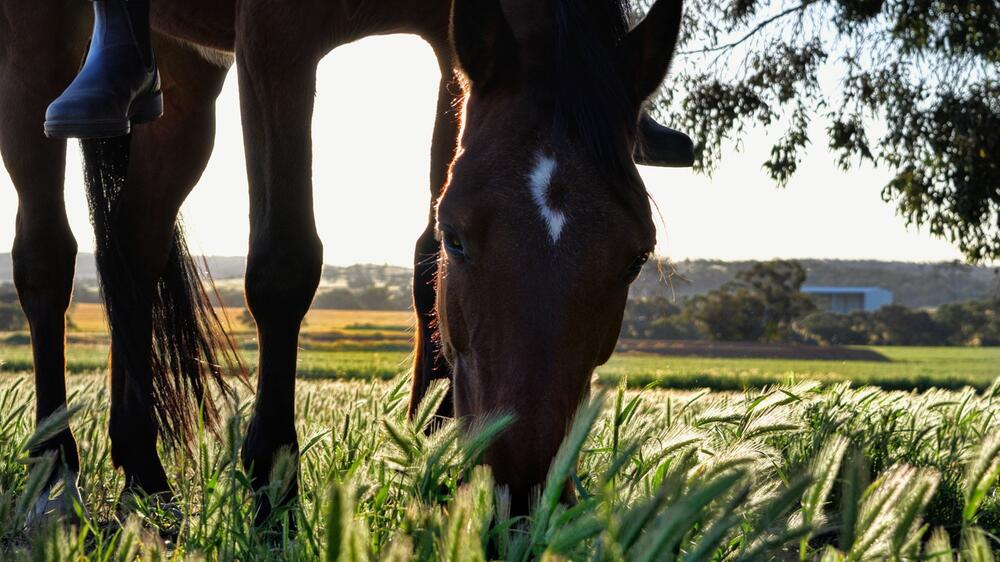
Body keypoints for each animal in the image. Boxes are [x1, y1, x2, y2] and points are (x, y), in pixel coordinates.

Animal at [0, 0, 688, 520]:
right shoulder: (275, 36)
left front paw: (432, 458)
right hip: (38, 35)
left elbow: (423, 264)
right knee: (46, 258)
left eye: (636, 257)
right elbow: (284, 263)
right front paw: (272, 490)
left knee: (133, 246)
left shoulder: (450, 47)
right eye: (461, 237)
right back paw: (53, 477)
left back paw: (144, 479)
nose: (521, 493)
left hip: (185, 70)